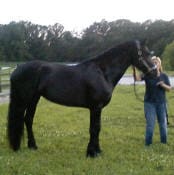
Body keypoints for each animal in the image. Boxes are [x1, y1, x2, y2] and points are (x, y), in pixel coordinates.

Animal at [7, 40, 156, 157]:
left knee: (28, 119)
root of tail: (16, 69)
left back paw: (33, 146)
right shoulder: (96, 107)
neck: (102, 72)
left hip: (34, 98)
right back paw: (17, 146)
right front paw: (92, 153)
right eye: (144, 53)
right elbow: (94, 128)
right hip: (24, 99)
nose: (155, 71)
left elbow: (97, 128)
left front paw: (97, 151)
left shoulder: (97, 108)